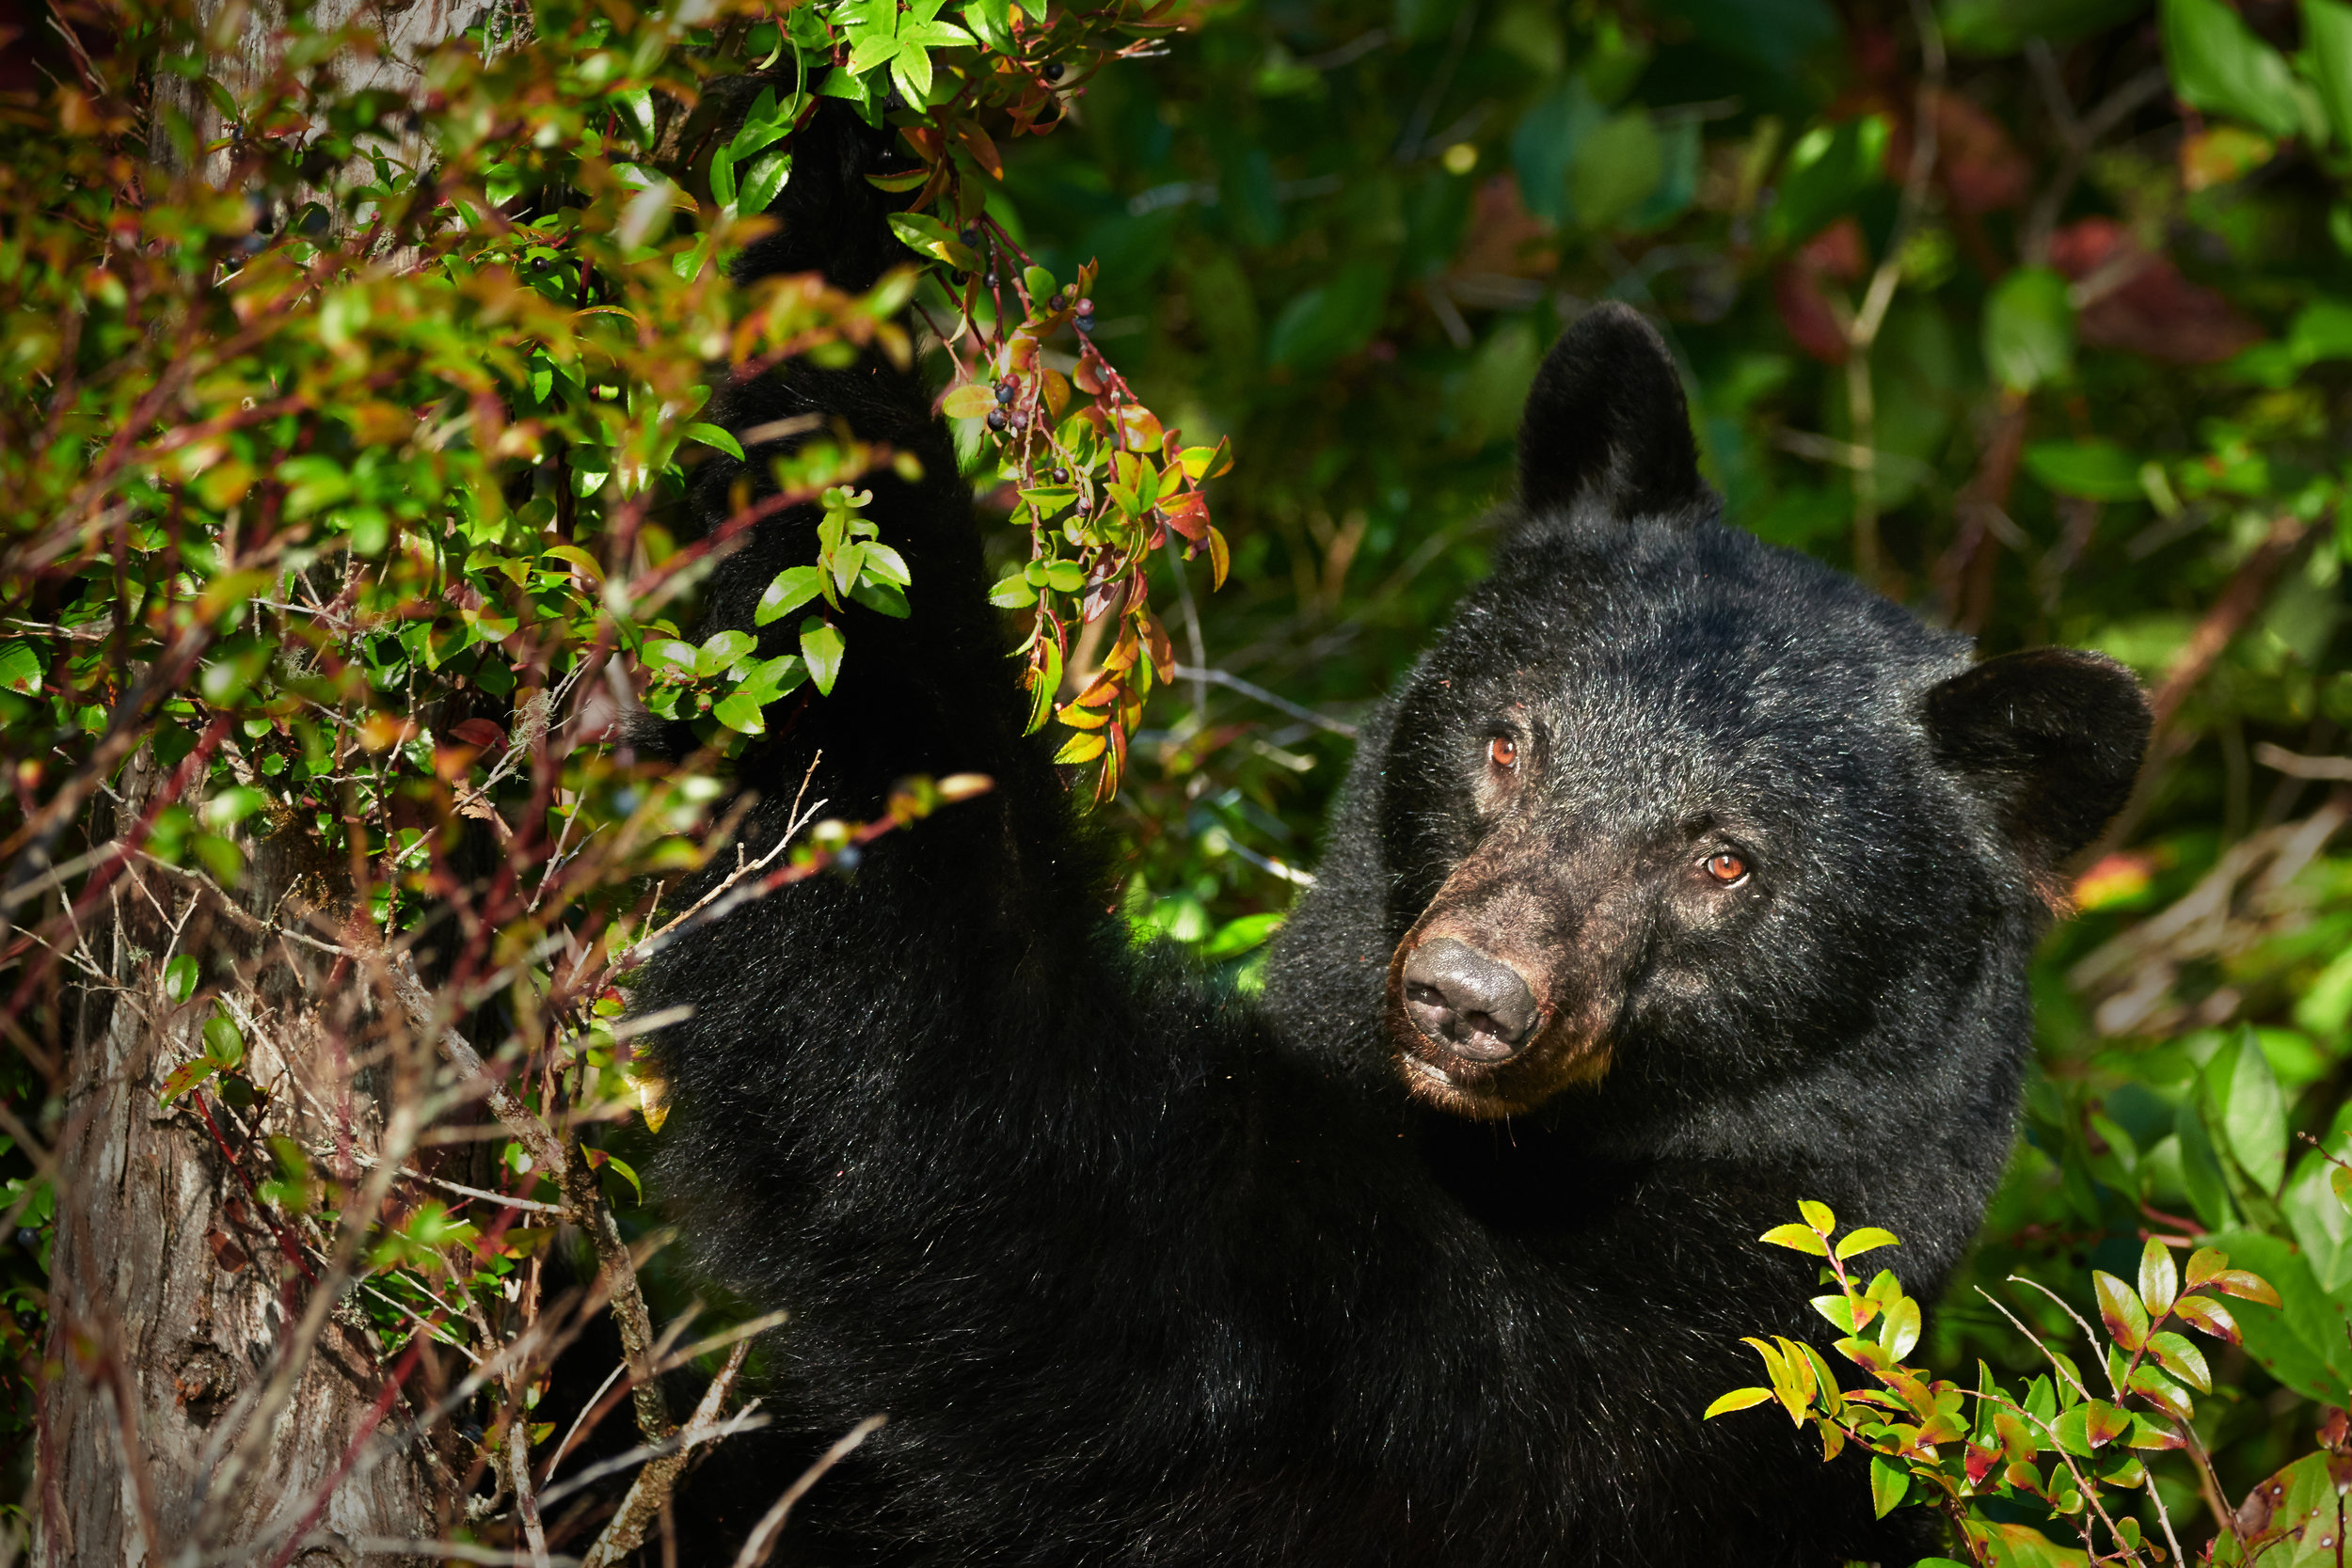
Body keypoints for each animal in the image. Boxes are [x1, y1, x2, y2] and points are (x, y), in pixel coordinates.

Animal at [644, 113, 2154, 1568]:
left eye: (1724, 859)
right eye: (1508, 740)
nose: (1468, 996)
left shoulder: (1603, 1386)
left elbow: (1020, 1160)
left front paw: (818, 233)